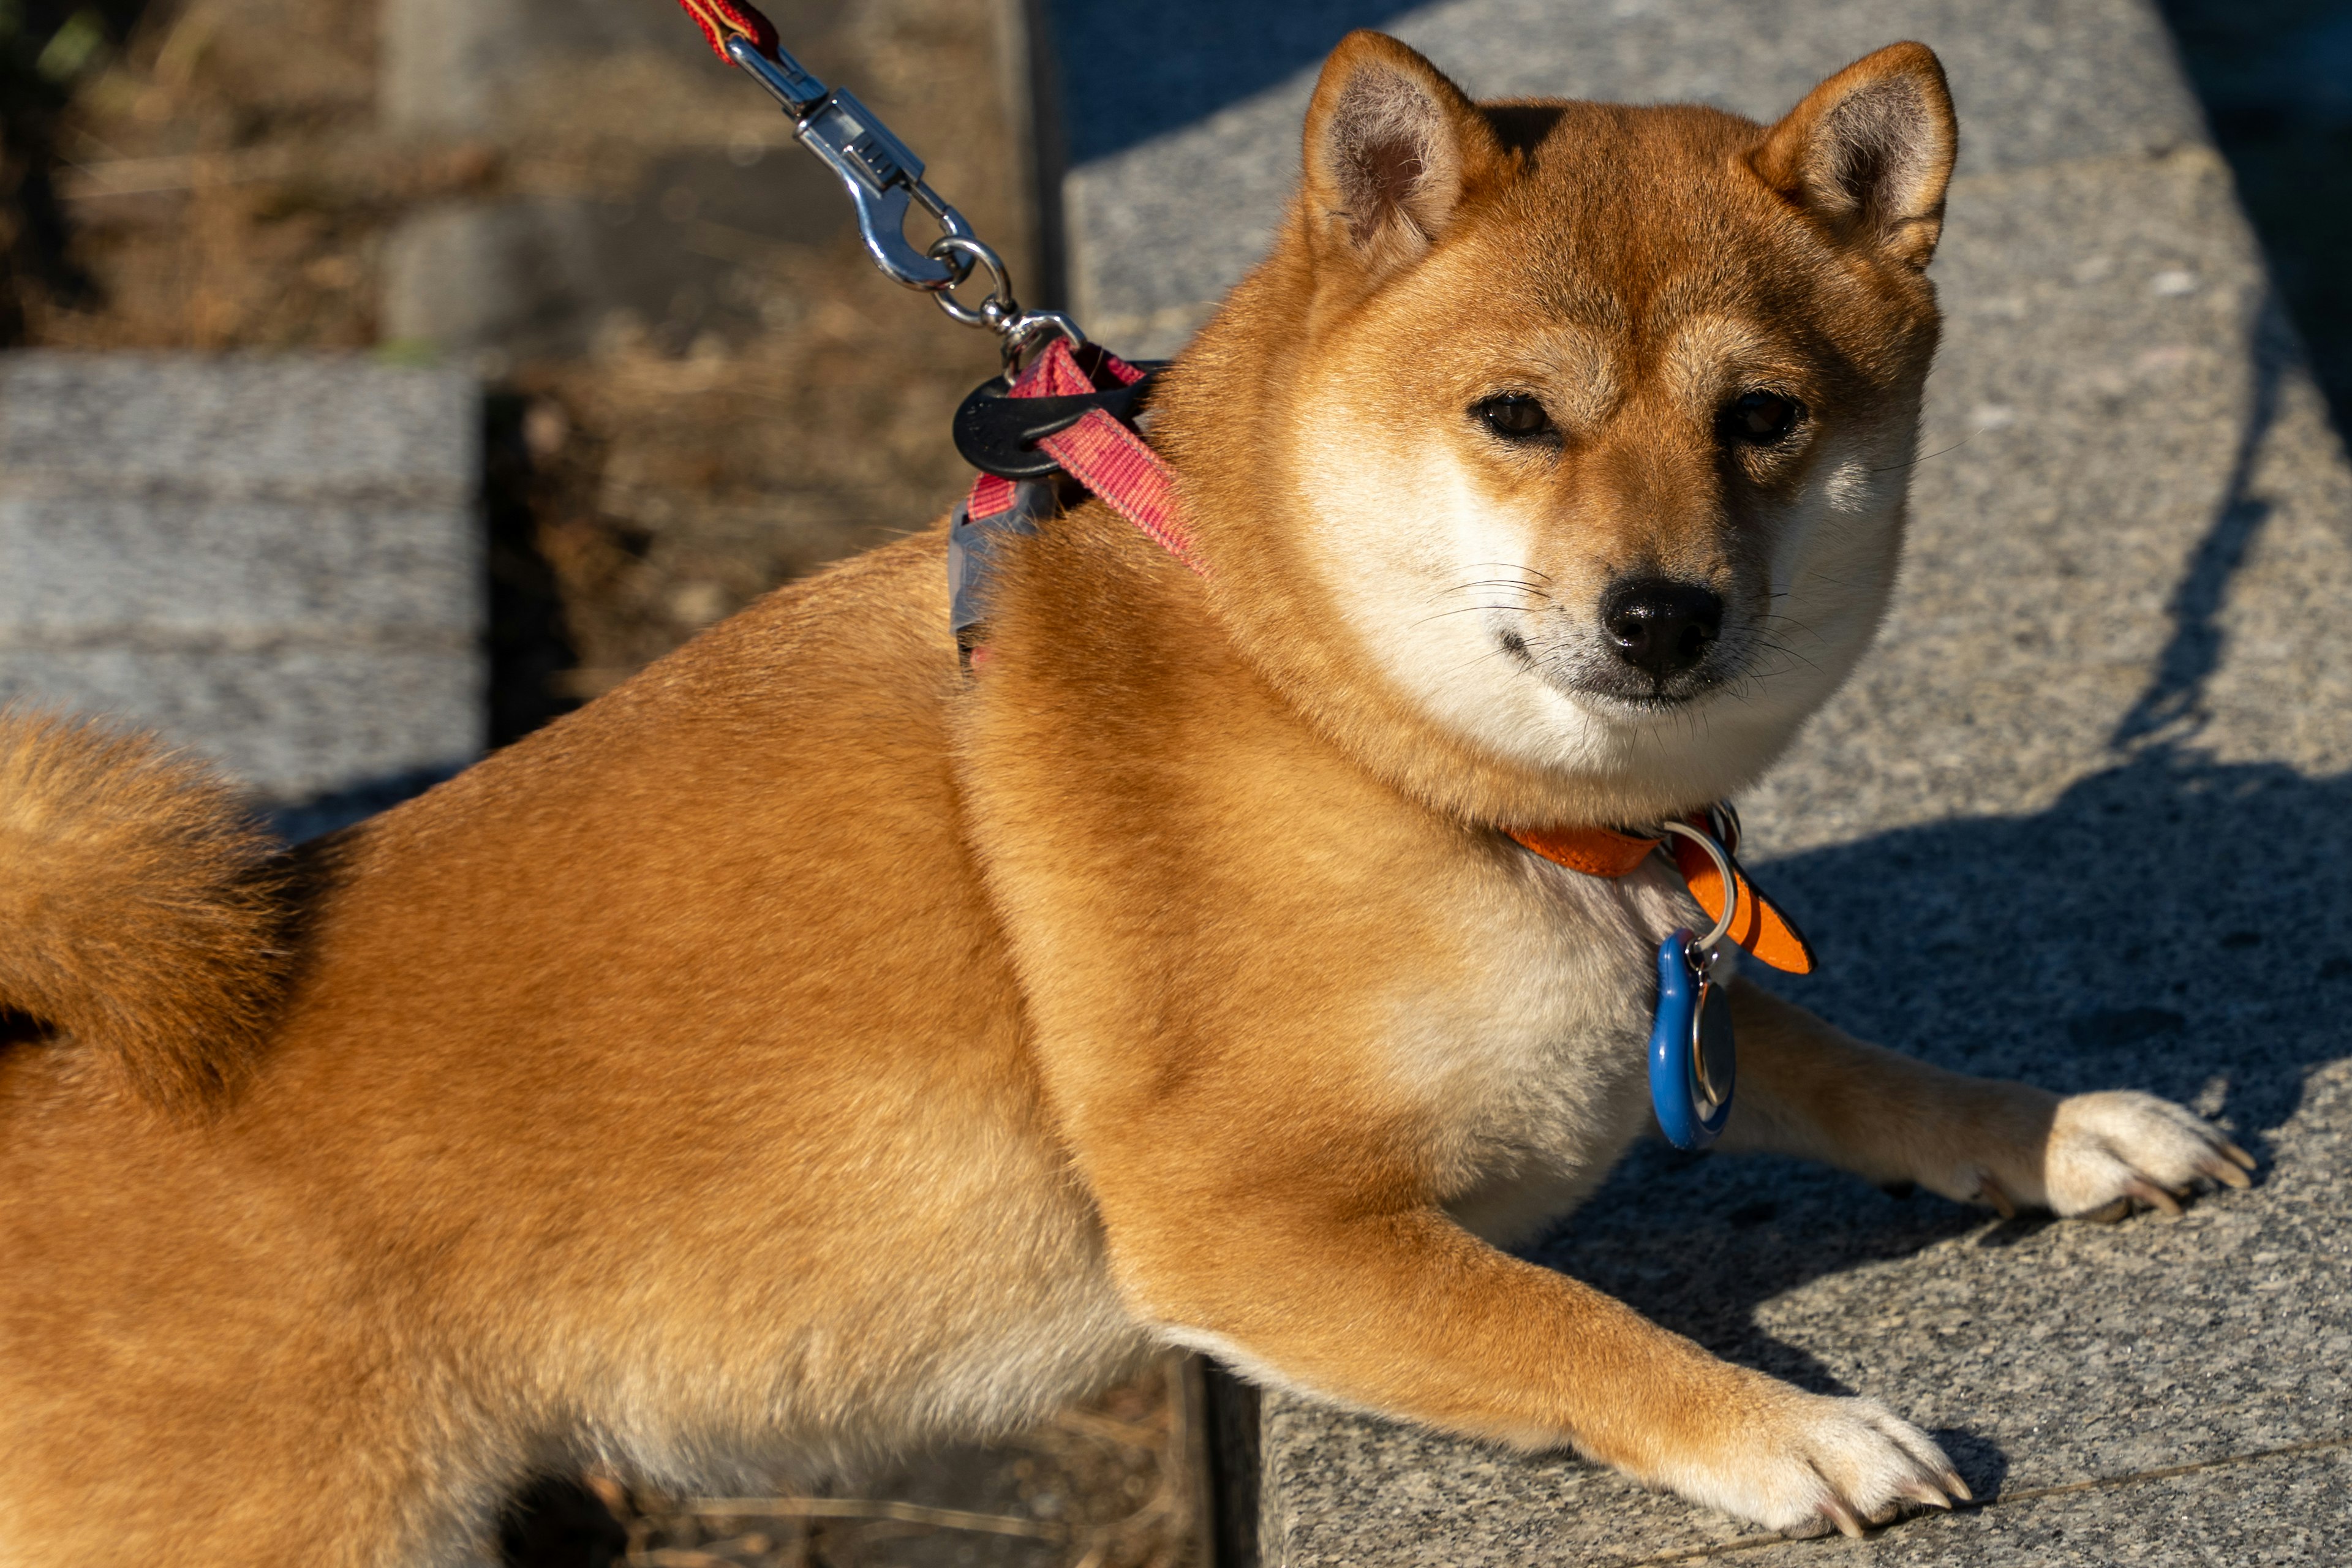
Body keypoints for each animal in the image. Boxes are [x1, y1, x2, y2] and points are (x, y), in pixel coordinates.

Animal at [0, 31, 2258, 1561]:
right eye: (1516, 417)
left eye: (1766, 417)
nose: (1662, 611)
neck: (1351, 730)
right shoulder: (1245, 1219)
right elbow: (1567, 1326)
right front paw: (1785, 1430)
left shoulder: (1654, 970)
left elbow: (1840, 1057)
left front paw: (2056, 1133)